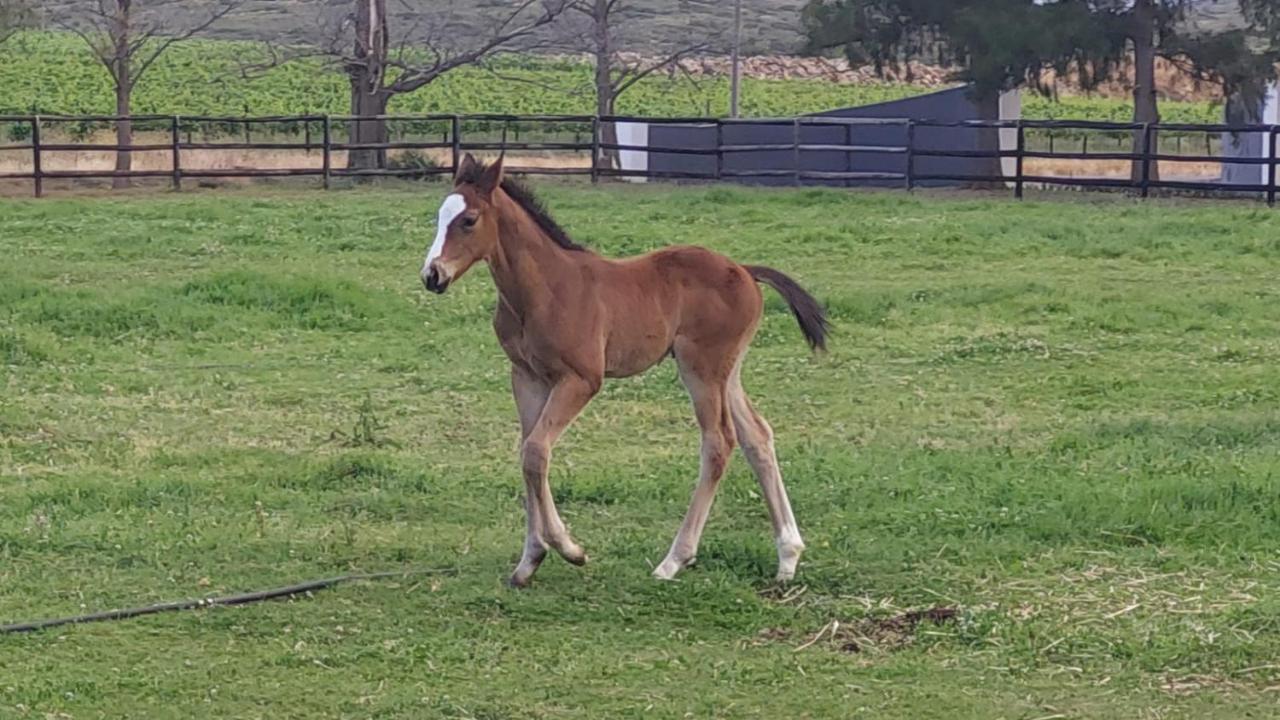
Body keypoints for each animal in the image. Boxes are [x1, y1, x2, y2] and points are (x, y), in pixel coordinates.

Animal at [419, 155, 829, 584]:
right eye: (439, 217)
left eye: (469, 220)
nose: (432, 275)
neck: (545, 288)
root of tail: (746, 270)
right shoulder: (526, 377)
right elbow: (528, 452)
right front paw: (530, 559)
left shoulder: (581, 379)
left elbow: (535, 451)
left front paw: (569, 549)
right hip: (727, 372)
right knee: (757, 436)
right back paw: (788, 556)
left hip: (701, 368)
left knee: (718, 443)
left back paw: (674, 560)